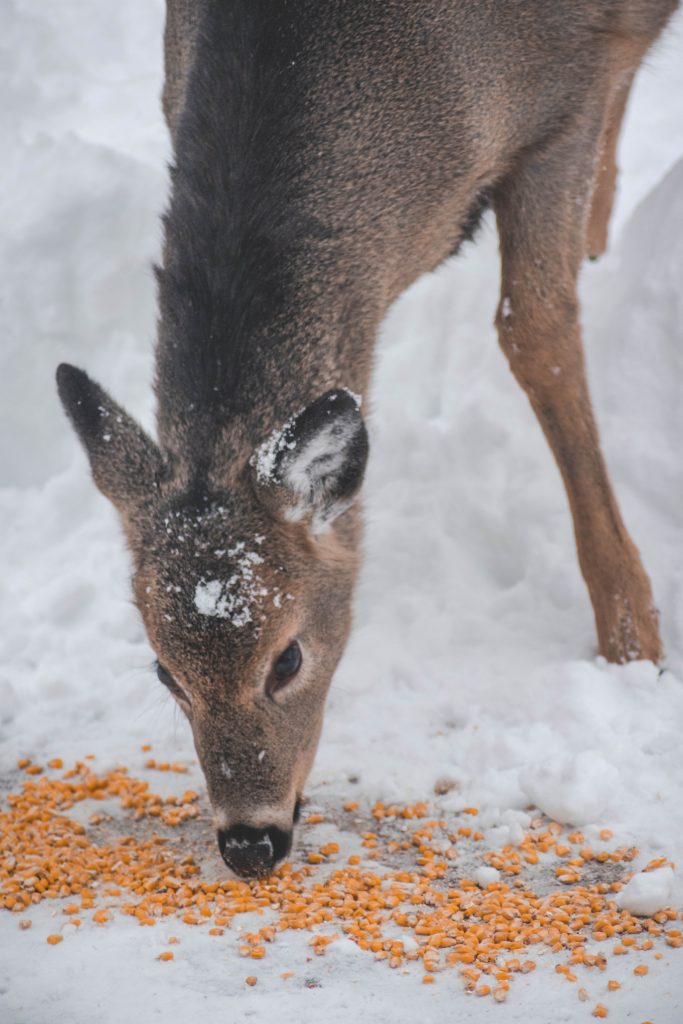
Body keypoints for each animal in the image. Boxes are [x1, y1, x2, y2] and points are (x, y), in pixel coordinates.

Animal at [56, 0, 678, 878]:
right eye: (163, 670)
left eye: (287, 657)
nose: (249, 842)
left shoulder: (566, 101)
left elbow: (535, 329)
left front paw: (633, 647)